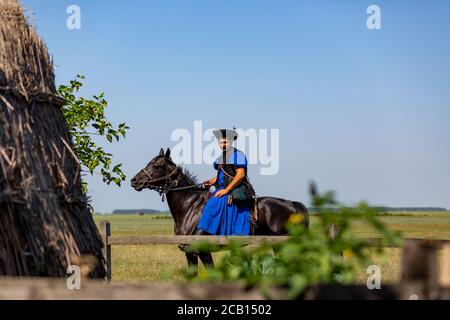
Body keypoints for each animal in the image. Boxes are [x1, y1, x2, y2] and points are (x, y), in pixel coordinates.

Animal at [130, 148, 310, 270]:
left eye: (157, 165)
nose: (134, 180)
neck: (189, 207)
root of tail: (294, 205)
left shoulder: (203, 252)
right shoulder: (189, 253)